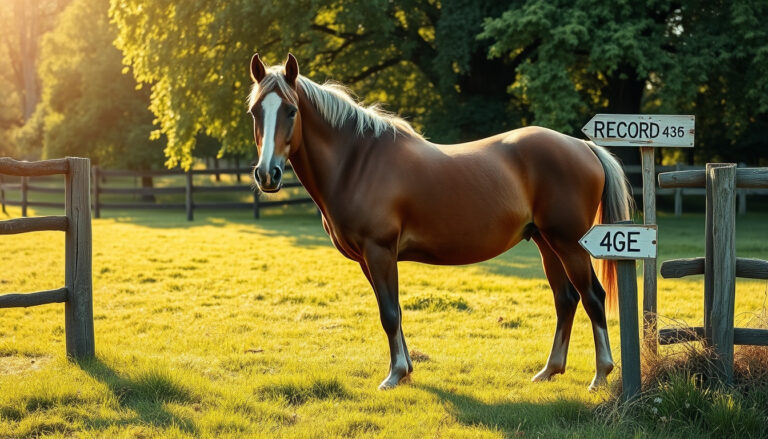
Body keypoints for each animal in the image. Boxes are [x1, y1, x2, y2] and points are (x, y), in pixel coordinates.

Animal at [247, 53, 633, 391]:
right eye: (255, 112)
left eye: (291, 110)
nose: (268, 175)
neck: (357, 162)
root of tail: (583, 146)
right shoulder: (368, 260)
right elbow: (394, 311)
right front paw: (405, 369)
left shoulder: (379, 251)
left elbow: (389, 313)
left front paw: (394, 376)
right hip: (546, 242)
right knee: (565, 299)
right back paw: (549, 370)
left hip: (569, 244)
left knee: (592, 297)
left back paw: (600, 375)